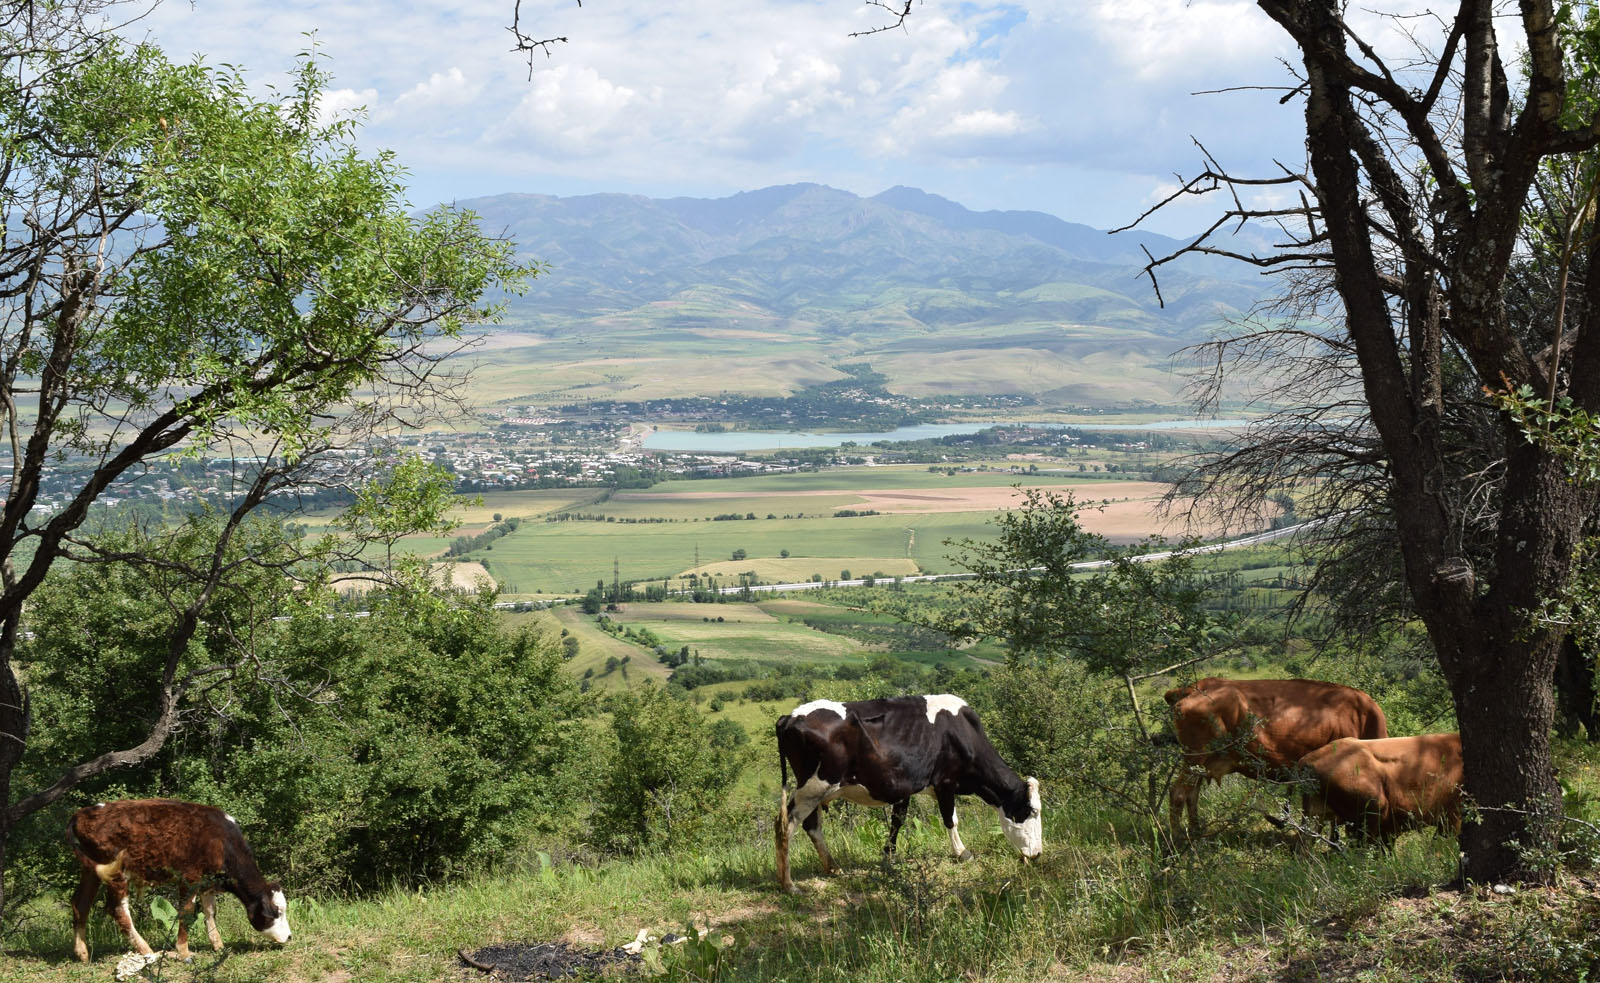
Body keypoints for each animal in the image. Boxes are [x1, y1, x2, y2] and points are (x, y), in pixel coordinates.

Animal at [66, 800, 291, 960]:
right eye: (276, 912)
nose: (289, 936)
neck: (220, 840)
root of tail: (80, 814)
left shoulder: (207, 880)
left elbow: (210, 910)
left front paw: (218, 945)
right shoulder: (189, 877)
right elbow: (186, 911)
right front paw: (183, 951)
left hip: (92, 870)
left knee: (80, 904)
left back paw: (82, 952)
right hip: (117, 873)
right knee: (118, 910)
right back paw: (147, 951)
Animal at [771, 698, 1043, 896]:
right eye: (1031, 811)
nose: (1037, 854)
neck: (962, 734)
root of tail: (789, 717)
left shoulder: (905, 786)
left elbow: (897, 821)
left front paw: (888, 857)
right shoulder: (945, 782)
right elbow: (950, 819)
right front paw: (962, 853)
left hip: (814, 791)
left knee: (811, 826)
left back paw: (833, 868)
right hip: (813, 786)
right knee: (785, 824)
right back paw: (789, 885)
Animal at [1164, 678, 1388, 838]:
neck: (1362, 718)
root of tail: (1194, 687)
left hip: (1201, 764)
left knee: (1192, 794)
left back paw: (1195, 833)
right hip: (1195, 757)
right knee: (1178, 793)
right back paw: (1177, 841)